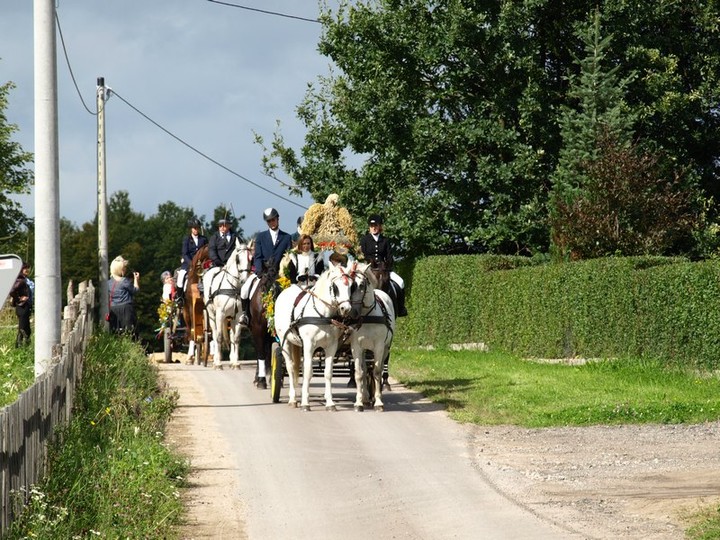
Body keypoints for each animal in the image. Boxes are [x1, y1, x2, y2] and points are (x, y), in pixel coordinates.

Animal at [202, 239, 253, 370]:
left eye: (251, 259)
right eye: (238, 259)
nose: (244, 281)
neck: (233, 287)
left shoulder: (238, 316)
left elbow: (235, 338)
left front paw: (235, 363)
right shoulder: (220, 314)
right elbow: (219, 337)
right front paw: (218, 364)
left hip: (230, 318)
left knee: (230, 335)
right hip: (212, 316)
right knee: (215, 334)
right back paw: (216, 360)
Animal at [272, 264, 362, 412]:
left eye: (351, 286)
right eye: (335, 286)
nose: (346, 308)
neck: (322, 315)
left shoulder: (331, 346)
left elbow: (328, 373)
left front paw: (330, 403)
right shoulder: (309, 345)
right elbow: (308, 372)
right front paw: (305, 403)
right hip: (285, 342)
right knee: (290, 368)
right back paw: (292, 399)